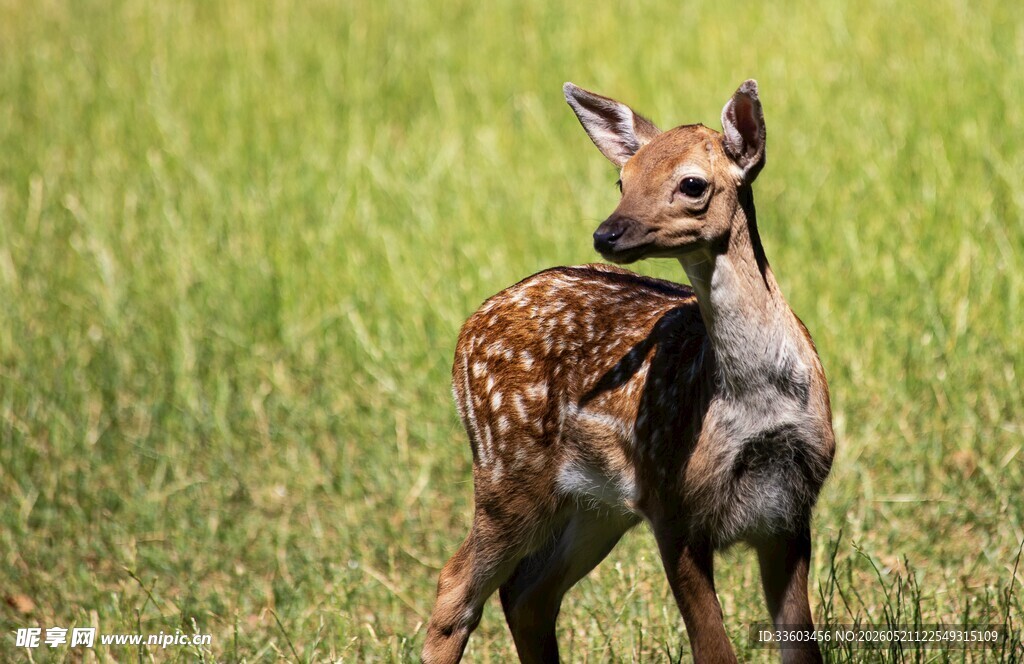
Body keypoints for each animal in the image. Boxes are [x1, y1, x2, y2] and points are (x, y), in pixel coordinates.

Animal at [421, 80, 835, 664]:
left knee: (528, 594)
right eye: (623, 178)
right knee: (456, 585)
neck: (756, 404)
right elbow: (714, 651)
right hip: (507, 472)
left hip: (596, 505)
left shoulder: (791, 508)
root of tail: (467, 326)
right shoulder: (672, 501)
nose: (606, 233)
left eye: (692, 183)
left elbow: (801, 648)